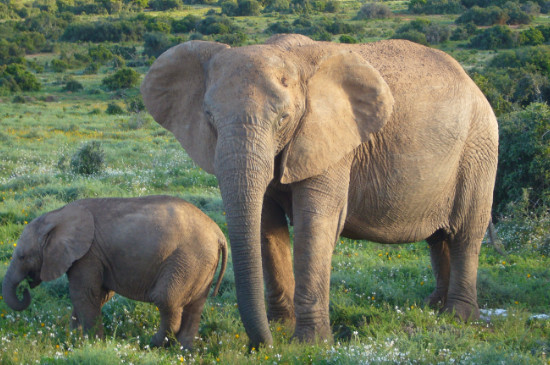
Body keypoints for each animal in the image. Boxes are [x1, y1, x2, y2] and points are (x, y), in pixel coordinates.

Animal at [1, 195, 227, 348]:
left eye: (22, 257)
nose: (25, 288)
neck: (56, 215)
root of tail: (218, 233)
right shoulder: (96, 257)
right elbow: (99, 295)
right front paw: (74, 338)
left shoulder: (87, 255)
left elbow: (84, 294)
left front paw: (92, 343)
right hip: (201, 264)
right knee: (195, 306)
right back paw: (183, 351)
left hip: (188, 259)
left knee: (166, 299)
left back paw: (151, 343)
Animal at [141, 34, 500, 346]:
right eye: (209, 117)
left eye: (284, 118)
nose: (262, 346)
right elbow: (267, 226)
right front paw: (281, 328)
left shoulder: (331, 141)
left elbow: (315, 223)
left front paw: (308, 343)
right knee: (438, 239)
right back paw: (433, 308)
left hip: (479, 148)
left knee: (466, 234)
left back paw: (459, 317)